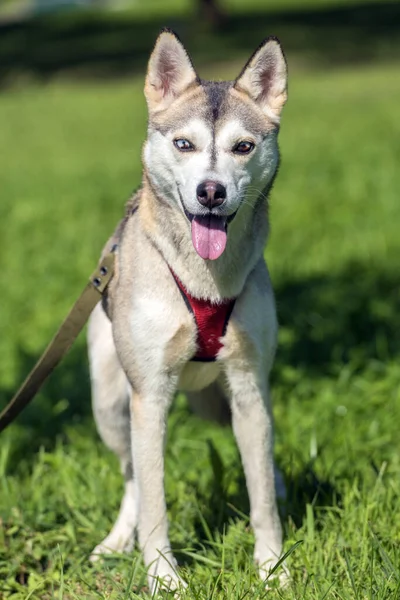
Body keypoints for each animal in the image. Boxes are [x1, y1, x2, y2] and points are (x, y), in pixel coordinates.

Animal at [86, 29, 288, 596]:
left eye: (243, 146)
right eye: (184, 144)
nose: (211, 191)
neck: (205, 278)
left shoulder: (248, 384)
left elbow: (260, 495)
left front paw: (272, 568)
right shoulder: (149, 396)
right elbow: (154, 498)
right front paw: (163, 576)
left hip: (226, 399)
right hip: (111, 402)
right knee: (132, 478)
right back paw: (118, 539)